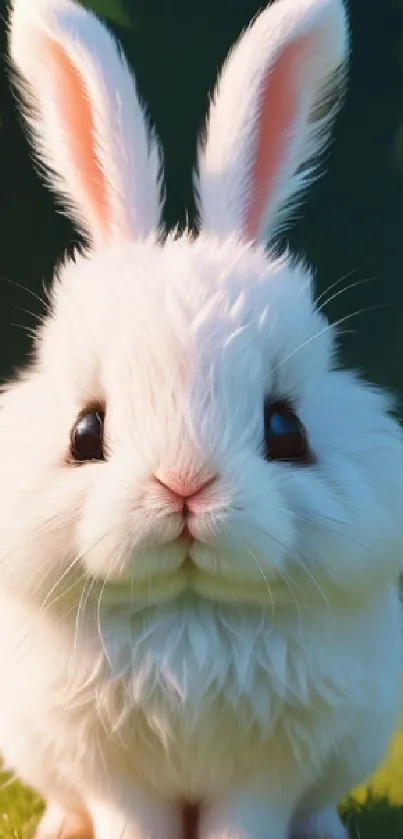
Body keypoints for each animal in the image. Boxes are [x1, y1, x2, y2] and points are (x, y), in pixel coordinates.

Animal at [2, 0, 403, 836]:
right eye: (84, 432)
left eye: (286, 428)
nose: (183, 485)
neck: (188, 614)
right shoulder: (111, 770)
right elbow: (127, 816)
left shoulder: (265, 771)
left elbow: (248, 816)